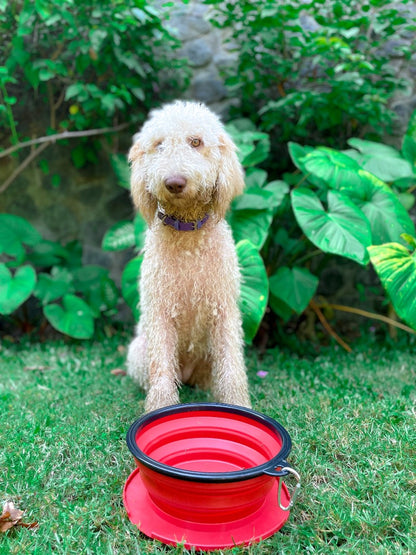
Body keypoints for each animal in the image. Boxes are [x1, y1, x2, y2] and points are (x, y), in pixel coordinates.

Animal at [127, 101, 250, 412]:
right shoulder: (160, 313)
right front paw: (160, 407)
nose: (174, 182)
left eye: (196, 142)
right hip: (138, 351)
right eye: (159, 145)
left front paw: (237, 404)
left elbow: (232, 367)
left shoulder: (225, 313)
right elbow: (161, 369)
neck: (188, 236)